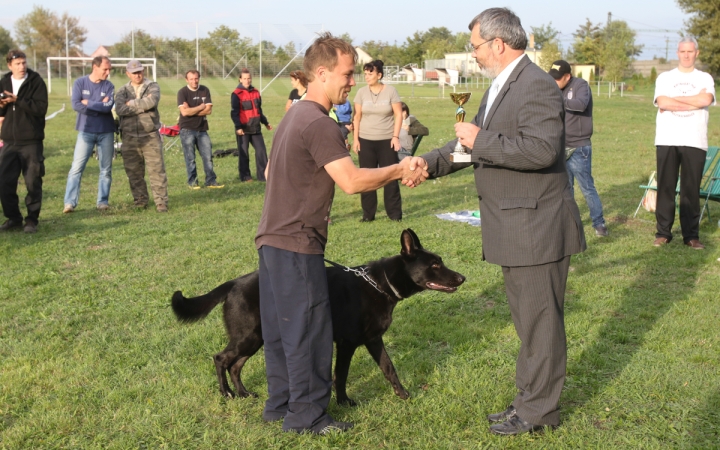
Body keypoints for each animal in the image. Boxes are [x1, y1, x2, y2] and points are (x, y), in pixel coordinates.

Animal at [173, 230, 466, 406]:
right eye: (435, 265)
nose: (463, 278)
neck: (379, 284)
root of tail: (233, 283)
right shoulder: (347, 344)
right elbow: (341, 374)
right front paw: (344, 402)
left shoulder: (373, 340)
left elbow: (388, 368)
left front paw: (402, 394)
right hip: (248, 338)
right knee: (220, 359)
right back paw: (227, 394)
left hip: (255, 340)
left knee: (235, 365)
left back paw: (244, 393)